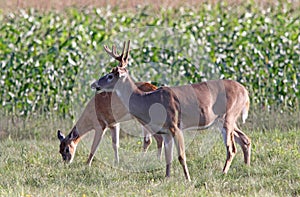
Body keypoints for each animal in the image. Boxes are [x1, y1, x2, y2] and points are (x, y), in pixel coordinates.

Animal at [91, 40, 251, 181]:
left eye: (110, 76)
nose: (94, 84)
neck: (148, 101)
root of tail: (245, 91)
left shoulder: (175, 126)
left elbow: (181, 156)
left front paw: (188, 179)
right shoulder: (165, 131)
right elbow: (168, 157)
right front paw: (167, 178)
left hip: (228, 116)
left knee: (231, 148)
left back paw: (223, 173)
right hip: (224, 120)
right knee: (245, 139)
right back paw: (245, 167)